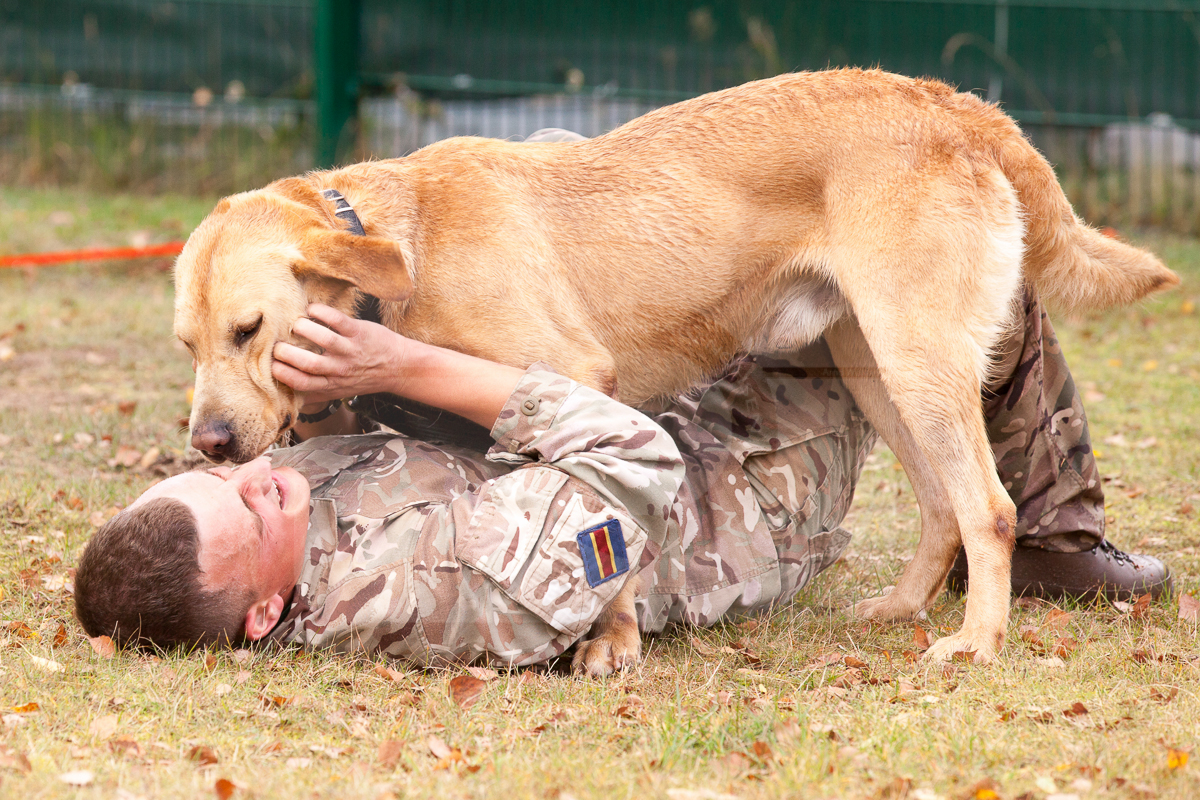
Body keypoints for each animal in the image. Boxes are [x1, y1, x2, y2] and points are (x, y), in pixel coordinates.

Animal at [174, 68, 1176, 671]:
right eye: (188, 344)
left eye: (249, 330)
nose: (211, 442)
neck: (405, 250)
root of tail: (952, 101)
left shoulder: (579, 373)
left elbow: (611, 527)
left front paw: (612, 641)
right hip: (879, 368)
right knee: (944, 508)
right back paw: (903, 609)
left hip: (919, 360)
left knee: (990, 510)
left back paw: (977, 640)